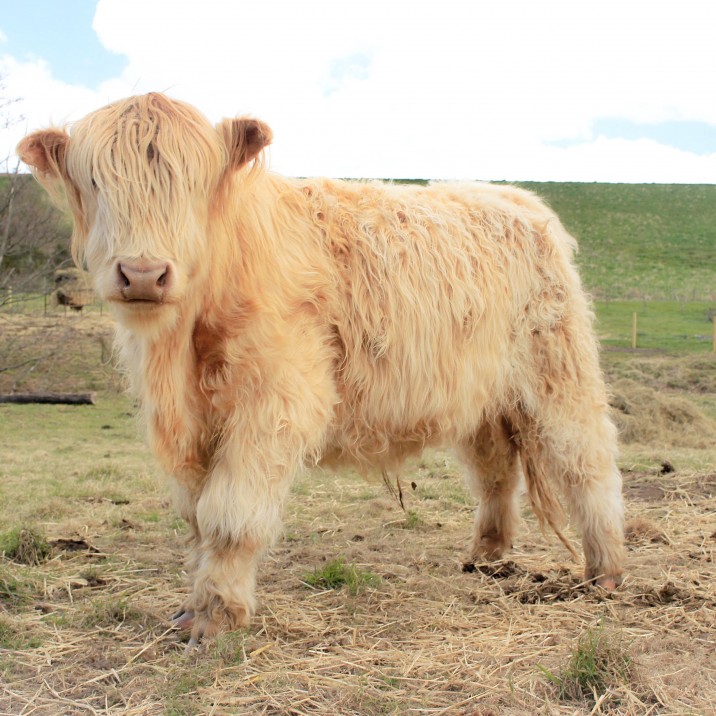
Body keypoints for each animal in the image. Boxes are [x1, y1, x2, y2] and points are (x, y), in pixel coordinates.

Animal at [18, 93, 624, 646]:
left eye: (194, 184)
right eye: (95, 181)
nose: (143, 273)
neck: (182, 349)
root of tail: (516, 196)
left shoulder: (272, 402)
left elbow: (229, 515)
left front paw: (218, 615)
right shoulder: (190, 423)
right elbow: (196, 518)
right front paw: (192, 607)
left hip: (559, 371)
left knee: (587, 462)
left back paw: (606, 570)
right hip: (480, 395)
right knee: (496, 470)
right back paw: (486, 555)